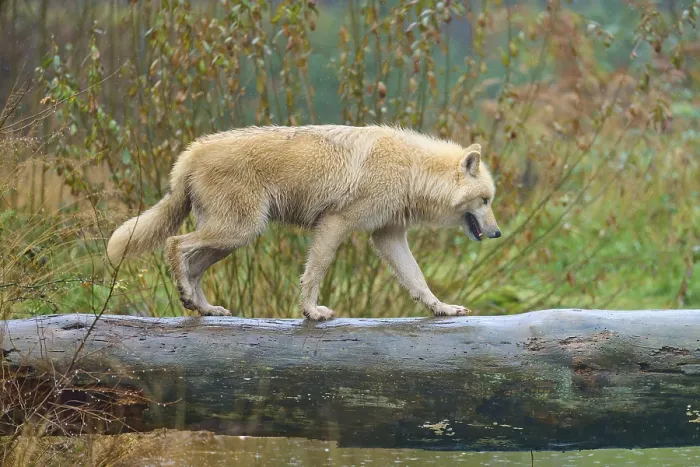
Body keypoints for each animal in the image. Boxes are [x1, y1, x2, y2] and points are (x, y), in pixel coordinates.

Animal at [106, 125, 501, 320]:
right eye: (486, 200)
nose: (497, 233)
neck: (413, 170)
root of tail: (191, 151)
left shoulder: (387, 237)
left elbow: (418, 280)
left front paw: (442, 309)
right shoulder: (334, 224)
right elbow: (315, 271)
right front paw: (311, 312)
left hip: (234, 238)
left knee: (193, 265)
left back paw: (203, 308)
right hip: (238, 231)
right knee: (175, 244)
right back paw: (189, 298)